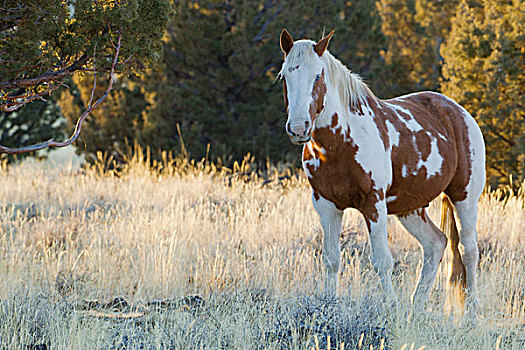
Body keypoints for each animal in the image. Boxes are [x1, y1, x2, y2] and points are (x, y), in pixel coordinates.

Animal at [276, 28, 486, 310]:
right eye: (284, 75)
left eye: (317, 75)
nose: (298, 128)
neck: (341, 142)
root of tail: (458, 112)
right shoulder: (326, 205)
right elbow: (331, 260)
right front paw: (329, 306)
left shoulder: (373, 202)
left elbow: (382, 262)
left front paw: (390, 308)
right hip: (410, 207)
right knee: (436, 244)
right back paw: (416, 306)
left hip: (464, 197)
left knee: (469, 249)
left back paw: (472, 308)